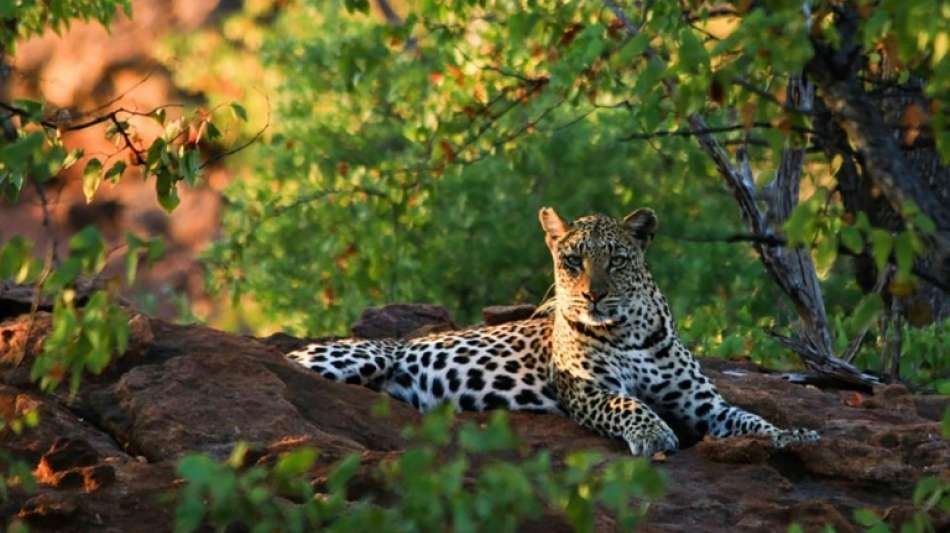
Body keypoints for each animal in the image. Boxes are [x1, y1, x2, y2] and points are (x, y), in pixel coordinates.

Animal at [286, 206, 820, 456]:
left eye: (616, 260)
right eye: (573, 261)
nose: (593, 296)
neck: (631, 331)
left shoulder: (701, 403)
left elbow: (750, 419)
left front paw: (793, 435)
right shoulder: (588, 390)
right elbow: (628, 404)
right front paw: (655, 434)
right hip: (358, 356)